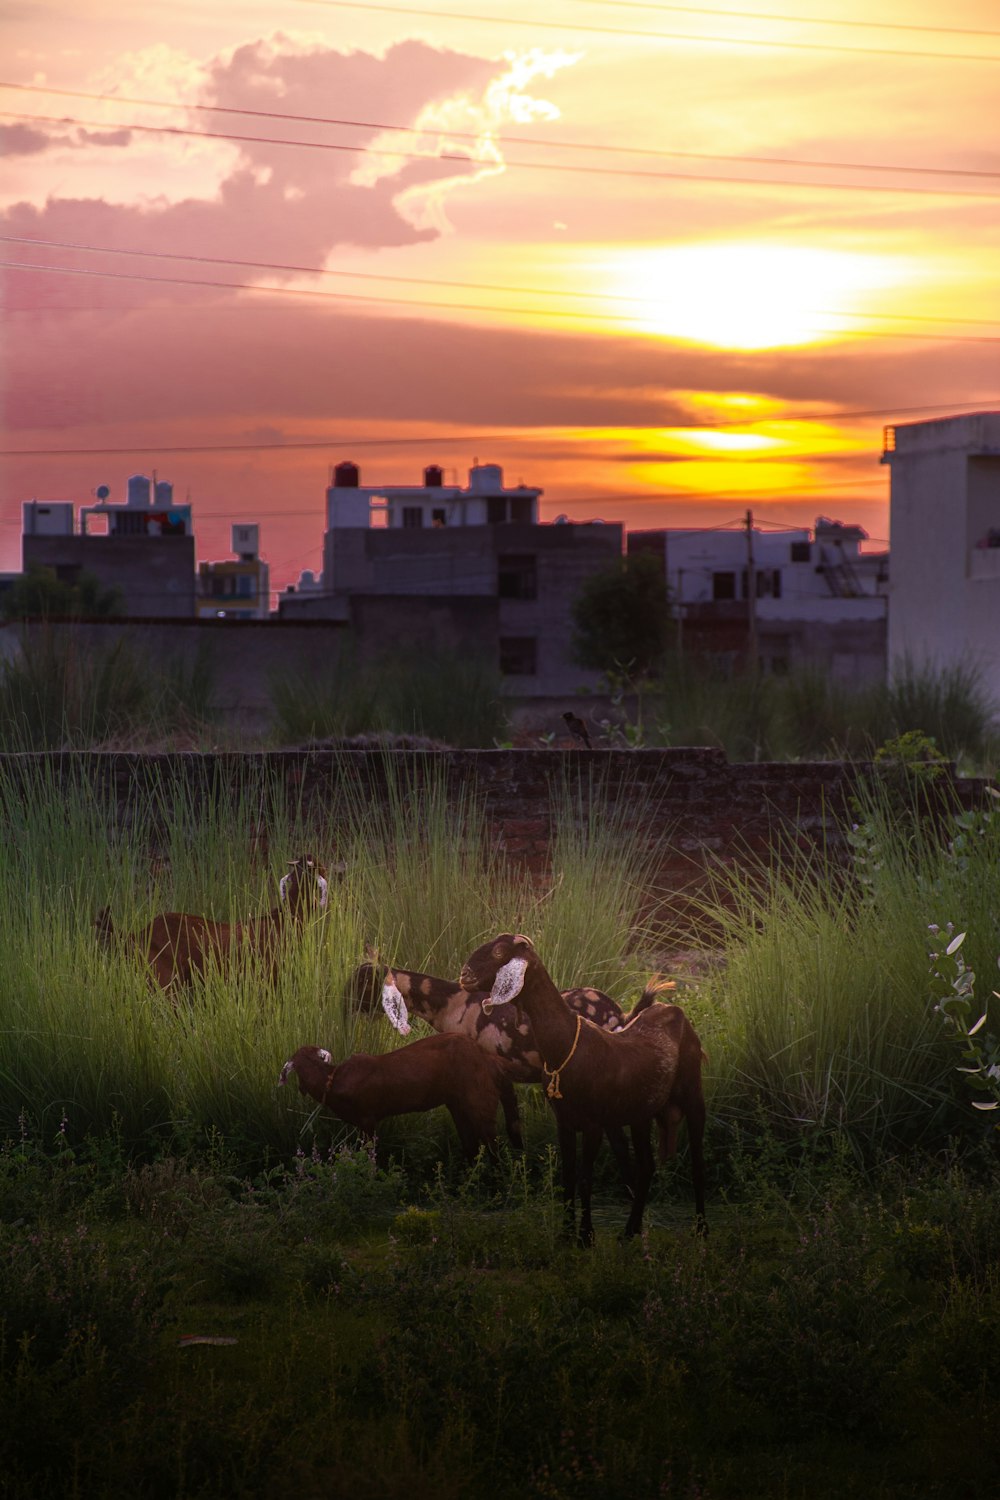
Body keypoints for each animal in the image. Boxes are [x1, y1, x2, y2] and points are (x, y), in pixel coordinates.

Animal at [277, 1038, 521, 1164]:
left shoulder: (367, 1118)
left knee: (493, 1145)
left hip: (480, 1100)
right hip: (458, 1105)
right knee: (473, 1144)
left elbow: (370, 1152)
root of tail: (492, 1061)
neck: (335, 1081)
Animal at [458, 936, 704, 1242]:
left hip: (693, 1093)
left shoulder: (593, 1124)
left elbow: (585, 1179)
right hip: (641, 1113)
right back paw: (630, 1231)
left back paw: (701, 1228)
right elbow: (568, 1178)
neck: (563, 1046)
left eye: (500, 951)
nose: (464, 976)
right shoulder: (564, 1122)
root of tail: (673, 1010)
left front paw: (586, 1236)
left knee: (697, 1161)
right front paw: (565, 1235)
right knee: (647, 1165)